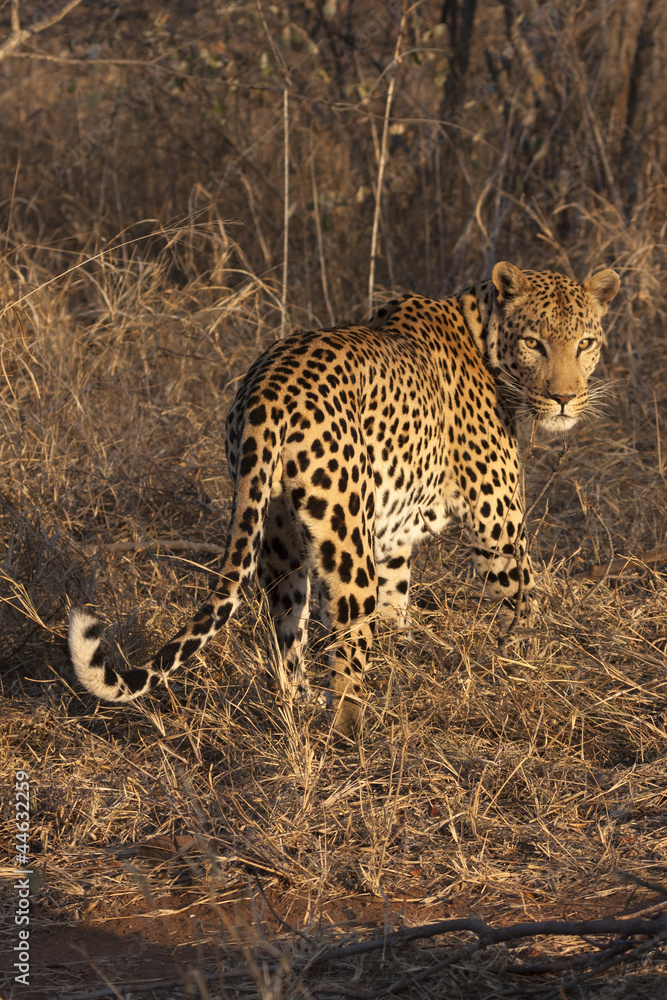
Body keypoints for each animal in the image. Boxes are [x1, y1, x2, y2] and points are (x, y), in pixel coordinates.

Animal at [68, 261, 620, 736]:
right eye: (533, 342)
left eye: (585, 342)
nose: (565, 399)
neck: (480, 326)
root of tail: (270, 385)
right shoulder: (498, 529)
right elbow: (523, 611)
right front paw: (530, 677)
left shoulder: (392, 542)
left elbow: (397, 609)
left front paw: (404, 657)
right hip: (347, 539)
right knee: (347, 650)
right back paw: (352, 736)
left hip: (277, 535)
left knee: (287, 636)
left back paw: (301, 704)